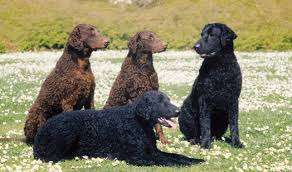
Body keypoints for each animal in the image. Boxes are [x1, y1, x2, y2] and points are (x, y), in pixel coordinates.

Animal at [33, 90, 203, 166]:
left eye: (168, 99)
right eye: (160, 101)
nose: (178, 111)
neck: (138, 122)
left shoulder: (153, 151)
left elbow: (176, 155)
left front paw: (194, 159)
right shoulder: (138, 156)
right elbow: (167, 160)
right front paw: (186, 164)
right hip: (68, 131)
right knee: (49, 156)